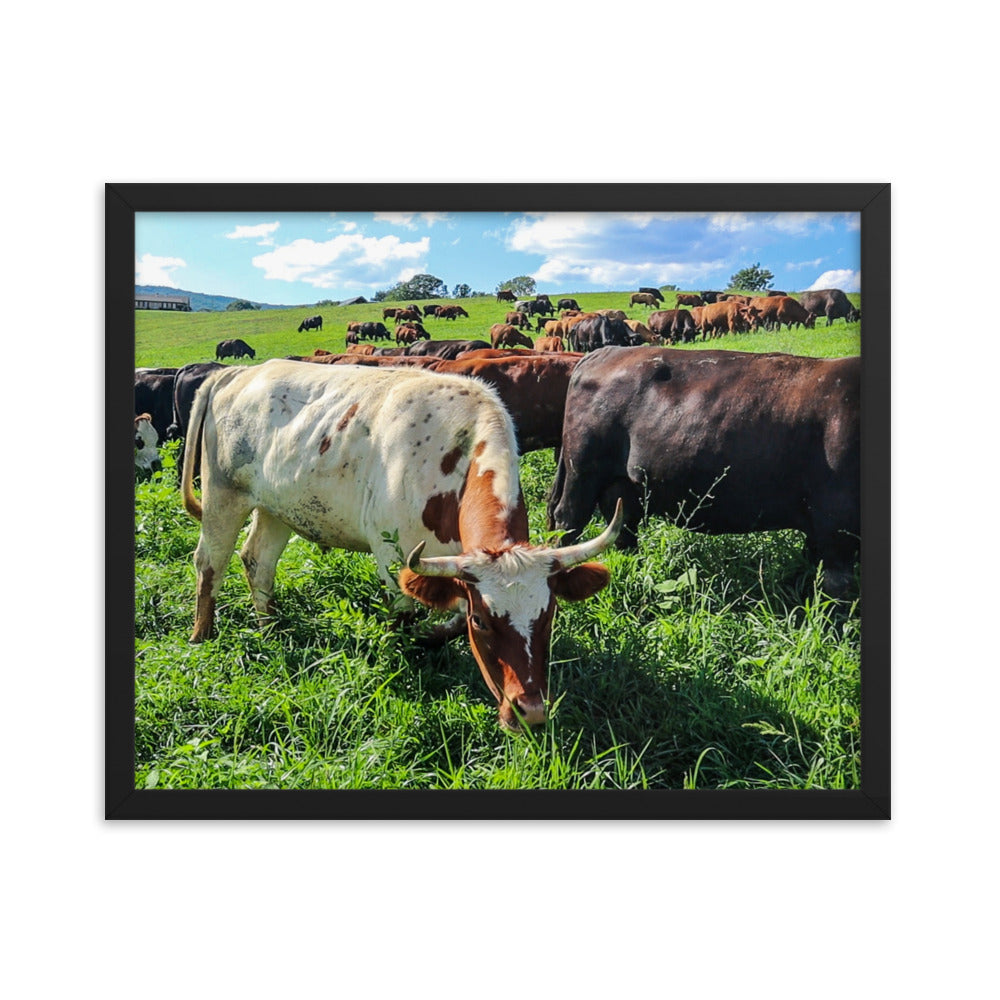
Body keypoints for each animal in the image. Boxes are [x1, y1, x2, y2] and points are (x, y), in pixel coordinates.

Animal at [181, 360, 621, 730]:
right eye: (484, 622)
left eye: (549, 615)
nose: (529, 712)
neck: (455, 456)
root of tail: (237, 372)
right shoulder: (394, 558)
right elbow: (406, 619)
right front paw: (407, 658)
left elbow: (450, 620)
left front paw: (432, 637)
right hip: (223, 496)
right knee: (210, 564)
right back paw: (202, 636)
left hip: (276, 508)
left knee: (258, 561)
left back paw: (270, 627)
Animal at [547, 346, 860, 596]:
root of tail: (603, 352)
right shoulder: (837, 525)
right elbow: (836, 591)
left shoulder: (821, 529)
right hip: (582, 473)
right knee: (568, 522)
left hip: (622, 486)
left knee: (624, 528)